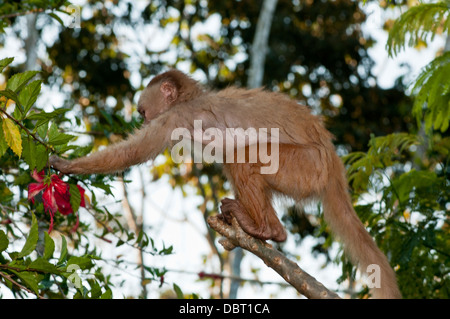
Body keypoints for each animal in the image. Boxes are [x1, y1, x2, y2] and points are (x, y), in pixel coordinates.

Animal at [49, 70, 400, 300]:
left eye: (143, 111)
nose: (143, 118)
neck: (190, 98)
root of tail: (332, 158)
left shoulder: (177, 116)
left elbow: (134, 151)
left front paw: (67, 165)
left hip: (306, 166)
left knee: (242, 158)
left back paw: (265, 229)